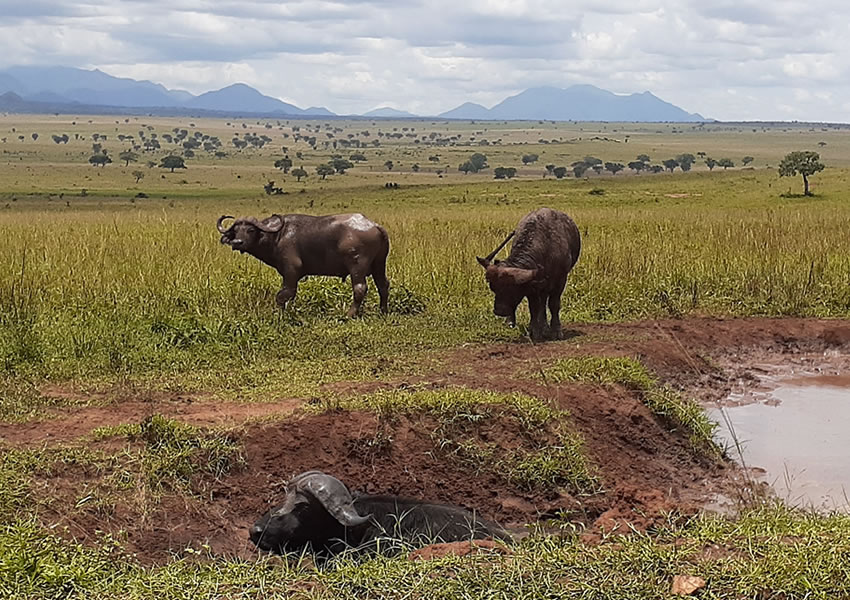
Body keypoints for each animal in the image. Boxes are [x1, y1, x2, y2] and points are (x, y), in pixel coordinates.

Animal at [474, 209, 580, 342]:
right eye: (493, 288)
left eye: (513, 290)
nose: (500, 310)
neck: (546, 245)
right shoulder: (532, 286)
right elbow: (534, 307)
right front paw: (534, 330)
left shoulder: (560, 280)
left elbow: (554, 304)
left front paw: (556, 331)